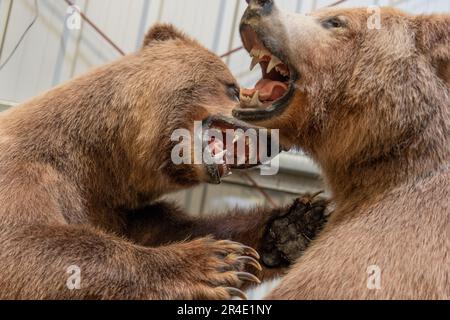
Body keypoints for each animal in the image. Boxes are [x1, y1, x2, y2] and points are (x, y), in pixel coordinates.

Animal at [0, 23, 326, 300]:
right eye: (234, 88)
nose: (278, 138)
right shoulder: (26, 170)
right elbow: (26, 246)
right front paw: (215, 264)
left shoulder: (119, 208)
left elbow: (173, 228)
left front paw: (294, 226)